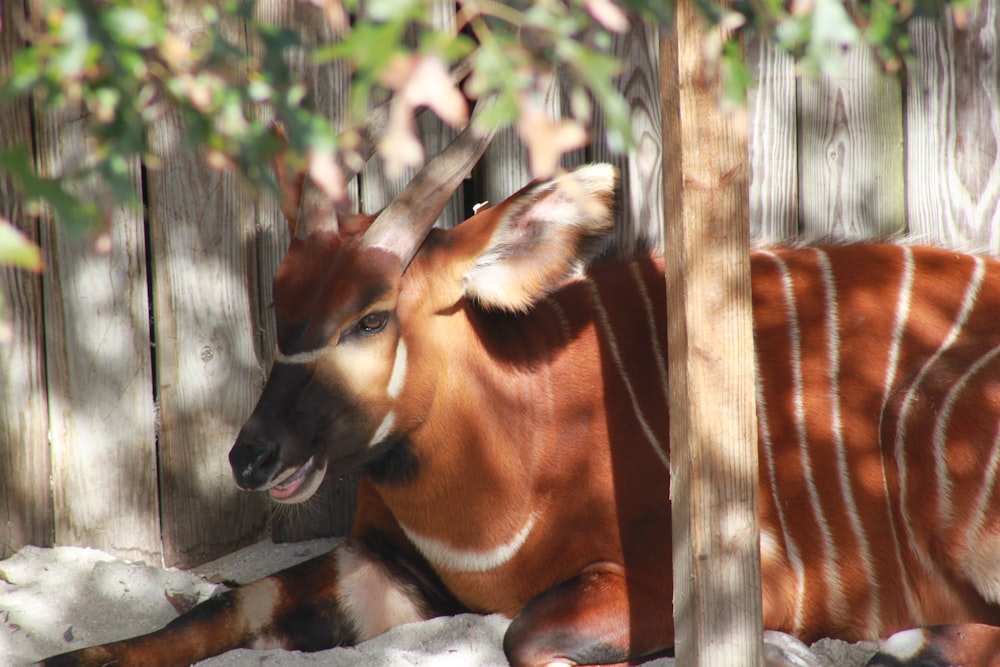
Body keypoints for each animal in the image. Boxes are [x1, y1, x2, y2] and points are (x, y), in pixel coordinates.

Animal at [41, 117, 1000, 664]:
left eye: (371, 316)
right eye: (280, 308)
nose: (252, 456)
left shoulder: (727, 574)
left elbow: (525, 634)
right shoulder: (383, 566)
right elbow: (215, 607)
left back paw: (907, 645)